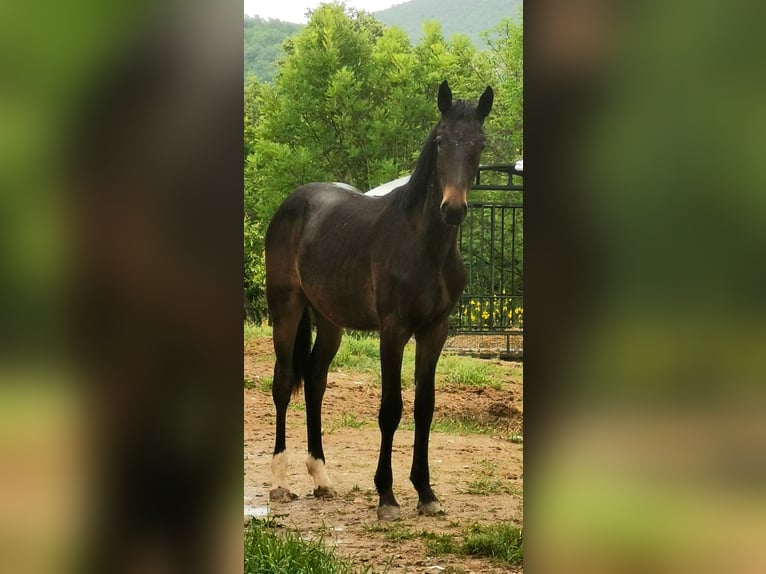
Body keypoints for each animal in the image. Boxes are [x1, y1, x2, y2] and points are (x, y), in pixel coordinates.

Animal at [266, 82, 492, 520]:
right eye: (440, 141)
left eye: (479, 144)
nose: (453, 209)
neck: (424, 246)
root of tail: (291, 203)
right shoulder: (393, 330)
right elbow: (391, 409)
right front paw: (386, 496)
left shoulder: (434, 331)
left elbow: (424, 406)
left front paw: (426, 492)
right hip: (285, 308)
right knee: (284, 382)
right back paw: (281, 481)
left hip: (330, 321)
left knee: (315, 381)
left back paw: (321, 477)